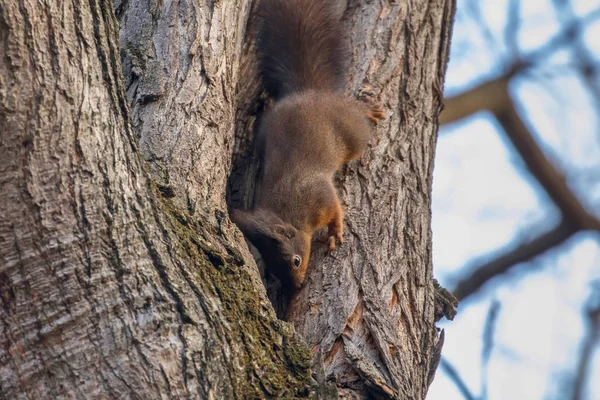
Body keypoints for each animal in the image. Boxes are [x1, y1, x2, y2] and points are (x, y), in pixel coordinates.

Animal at [231, 0, 384, 292]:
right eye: (273, 270)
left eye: (296, 261)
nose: (297, 287)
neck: (289, 213)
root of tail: (305, 91)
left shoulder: (318, 196)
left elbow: (335, 209)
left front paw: (335, 232)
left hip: (351, 134)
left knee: (356, 118)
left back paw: (367, 110)